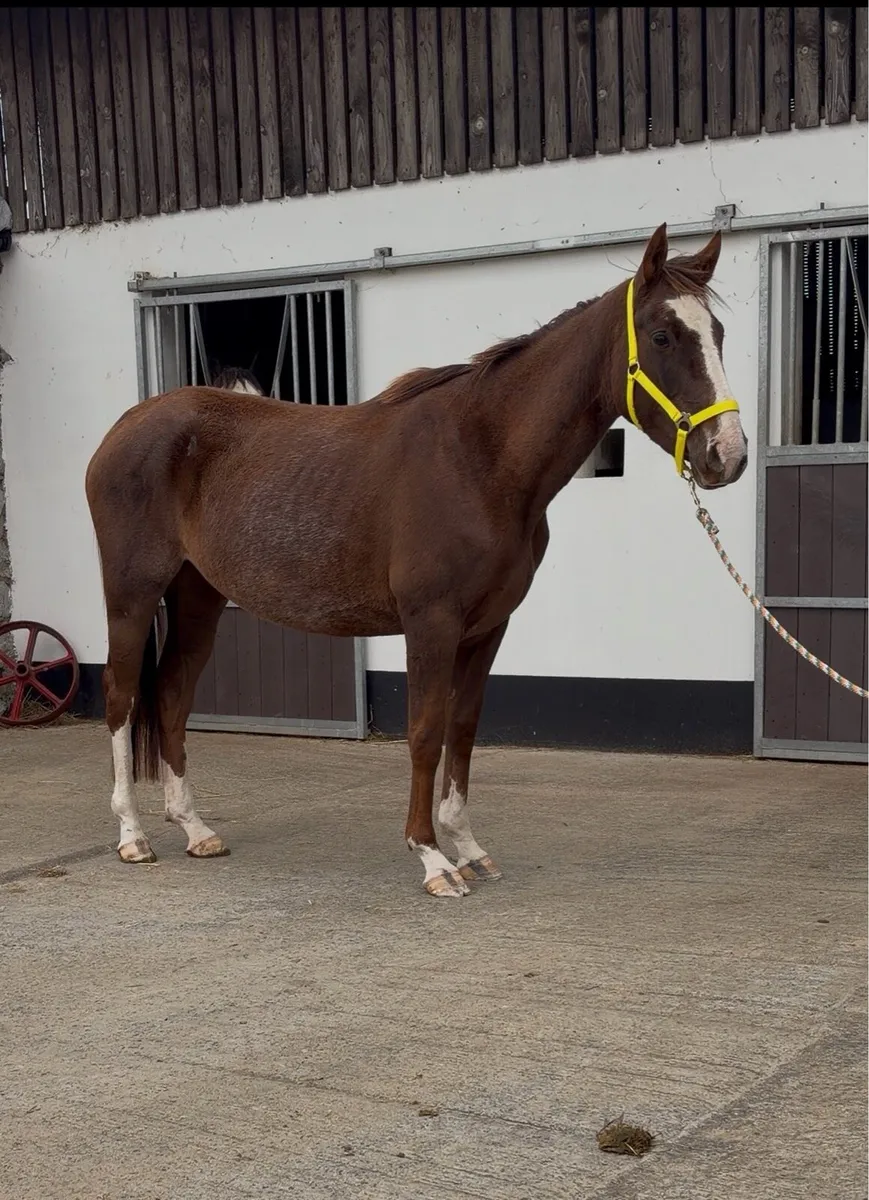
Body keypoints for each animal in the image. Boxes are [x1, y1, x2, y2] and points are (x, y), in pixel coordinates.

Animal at [85, 223, 748, 898]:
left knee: (172, 691)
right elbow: (426, 733)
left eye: (718, 333)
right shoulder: (431, 622)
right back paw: (133, 835)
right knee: (120, 695)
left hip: (199, 595)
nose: (728, 455)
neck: (480, 458)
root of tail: (126, 425)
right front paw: (432, 858)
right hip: (132, 593)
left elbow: (463, 729)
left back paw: (195, 829)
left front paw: (469, 847)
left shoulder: (487, 627)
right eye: (663, 335)